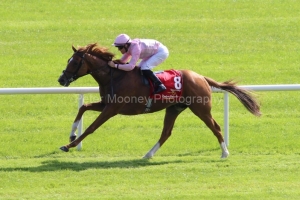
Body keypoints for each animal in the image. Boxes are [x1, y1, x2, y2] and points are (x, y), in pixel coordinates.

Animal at [58, 43, 260, 159]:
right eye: (68, 60)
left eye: (74, 62)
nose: (61, 79)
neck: (113, 76)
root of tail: (201, 77)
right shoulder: (105, 104)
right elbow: (83, 107)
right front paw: (72, 134)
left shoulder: (112, 109)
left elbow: (91, 127)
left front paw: (69, 145)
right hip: (174, 108)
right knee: (166, 133)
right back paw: (148, 154)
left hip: (201, 109)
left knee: (215, 127)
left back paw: (225, 153)